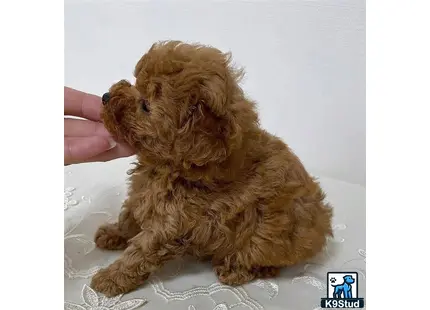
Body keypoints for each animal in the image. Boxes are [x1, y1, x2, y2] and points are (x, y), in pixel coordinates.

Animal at [90, 40, 332, 296]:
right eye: (136, 84)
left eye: (145, 106)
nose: (105, 96)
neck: (169, 167)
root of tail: (323, 225)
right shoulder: (145, 194)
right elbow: (129, 216)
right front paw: (113, 233)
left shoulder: (171, 221)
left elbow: (140, 251)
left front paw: (111, 278)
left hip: (269, 237)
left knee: (260, 256)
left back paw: (236, 269)